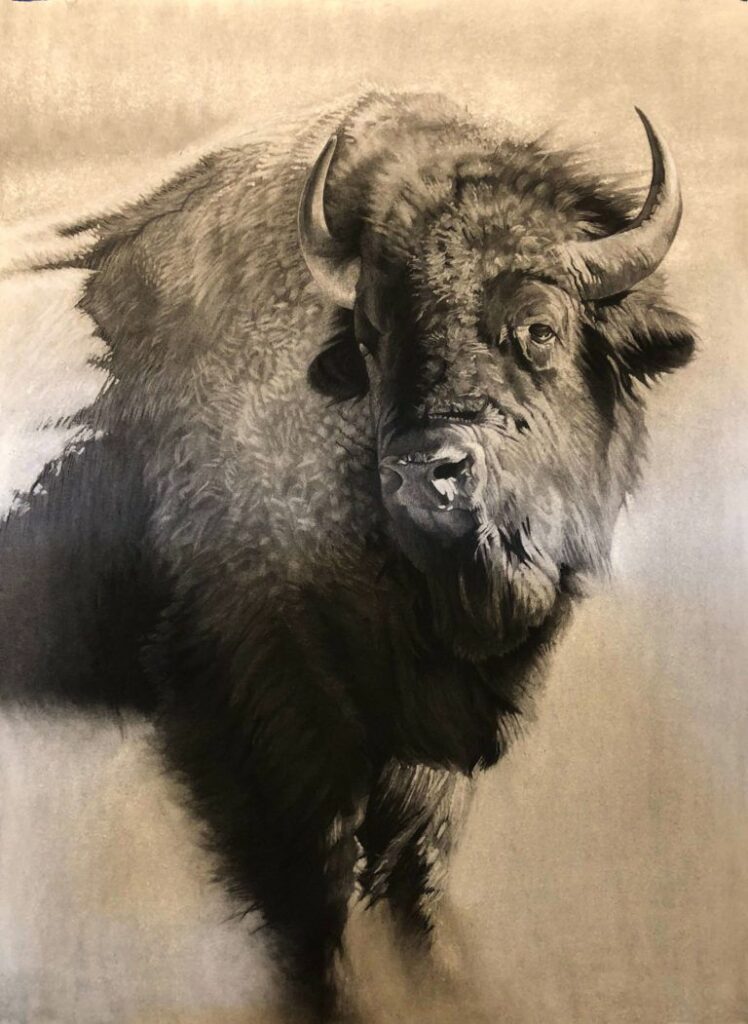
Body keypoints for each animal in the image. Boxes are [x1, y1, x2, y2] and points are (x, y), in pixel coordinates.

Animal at [0, 91, 694, 1021]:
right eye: (370, 335)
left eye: (540, 328)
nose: (425, 468)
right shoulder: (266, 697)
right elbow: (312, 883)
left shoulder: (424, 725)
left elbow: (412, 858)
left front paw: (440, 980)